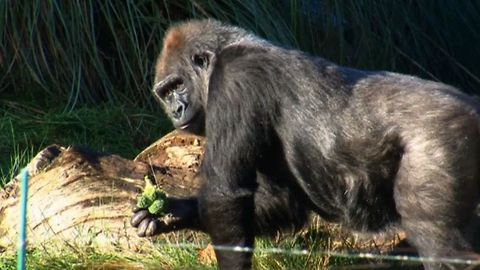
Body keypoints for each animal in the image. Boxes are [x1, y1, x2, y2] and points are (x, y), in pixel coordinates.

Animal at [131, 19, 480, 270]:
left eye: (177, 85)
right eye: (165, 93)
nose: (176, 111)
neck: (226, 50)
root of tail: (472, 106)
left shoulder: (234, 80)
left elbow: (224, 195)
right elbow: (279, 203)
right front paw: (171, 212)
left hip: (443, 138)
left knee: (438, 244)